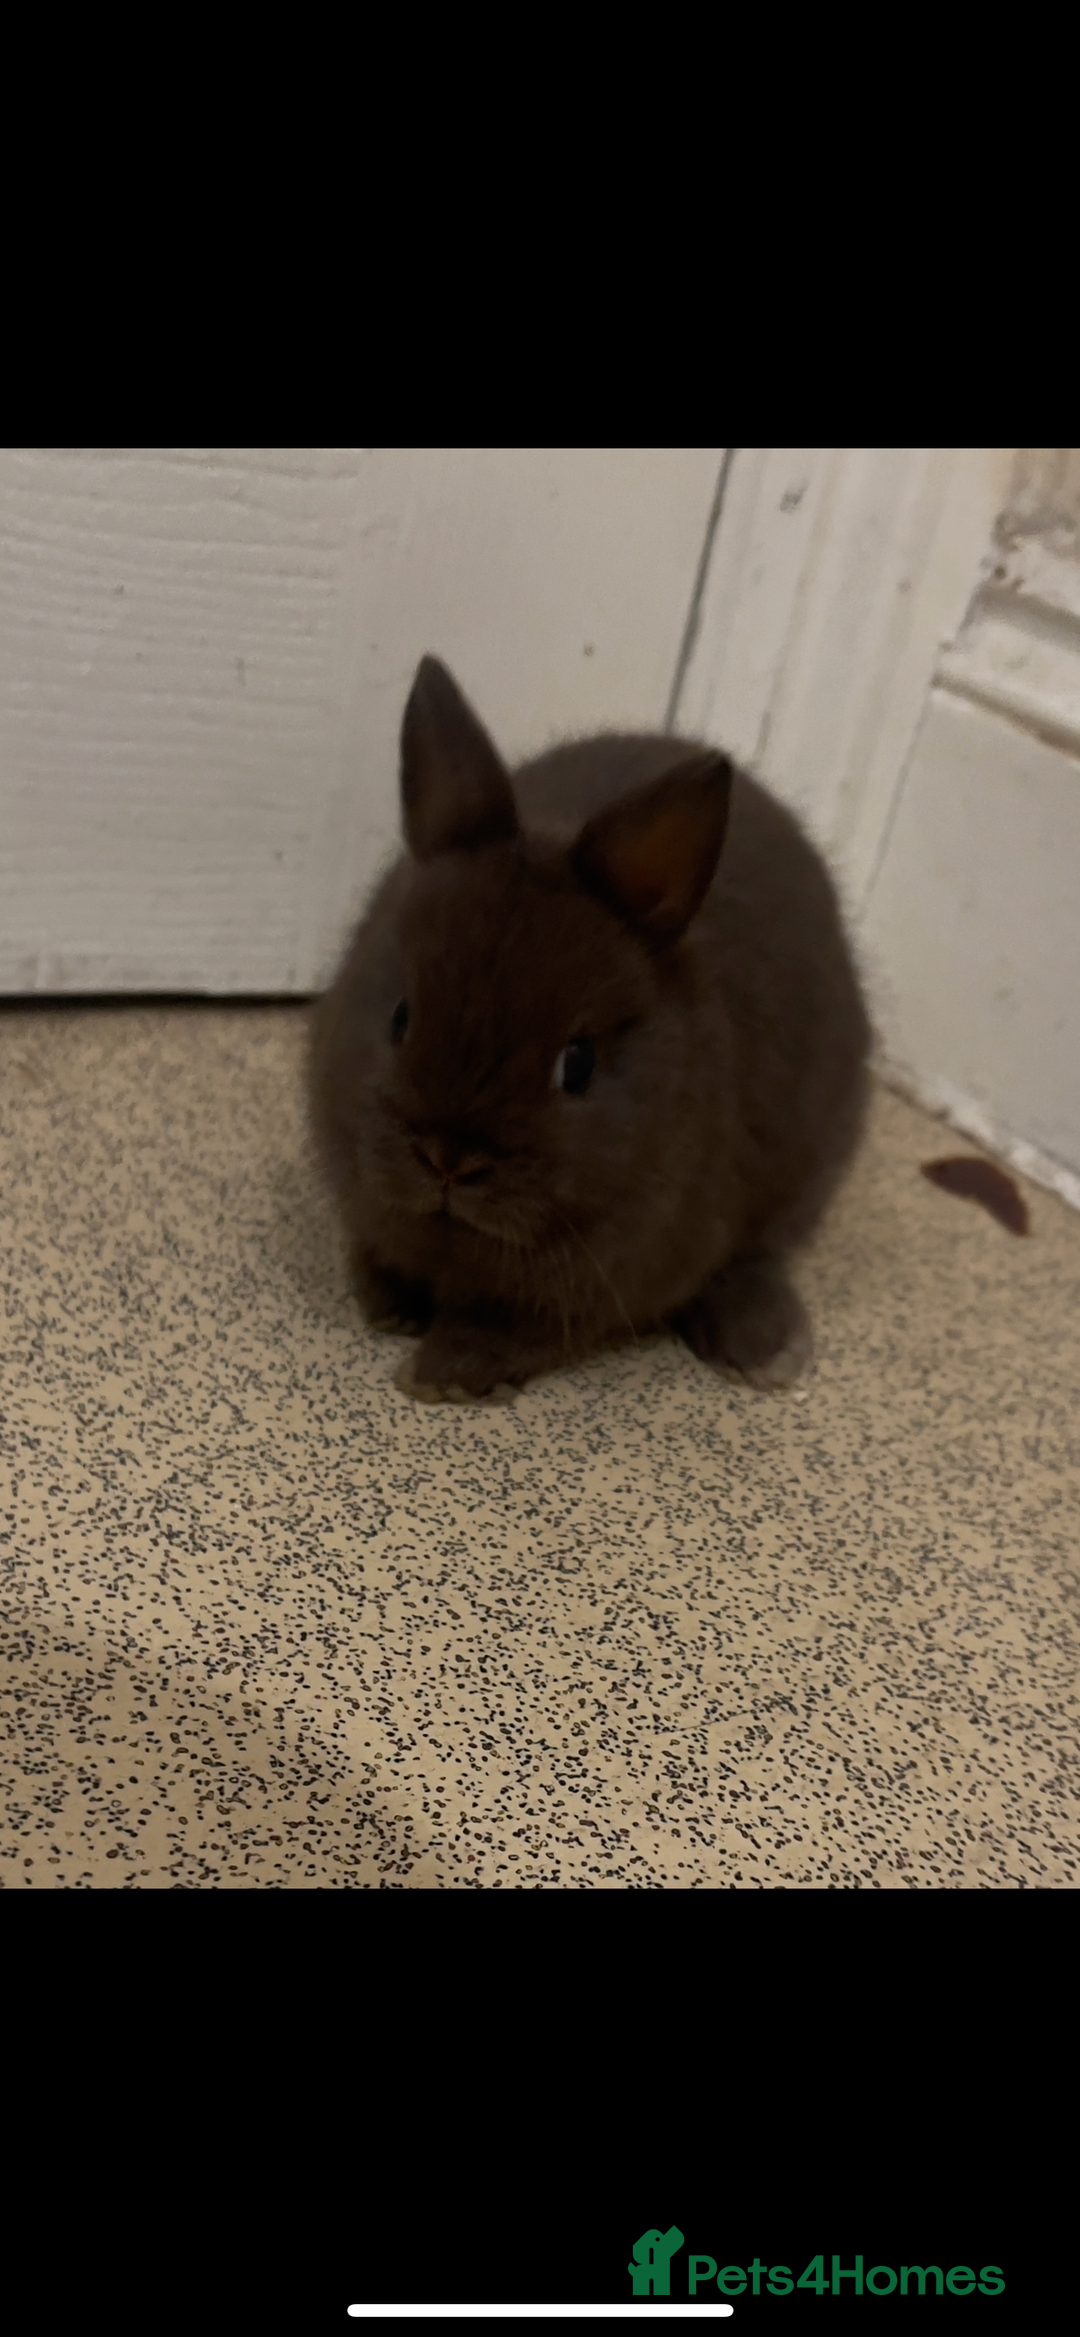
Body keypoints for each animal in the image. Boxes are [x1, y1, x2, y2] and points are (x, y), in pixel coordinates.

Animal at [307, 655, 872, 1403]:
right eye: (401, 1016)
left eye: (577, 1064)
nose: (447, 1159)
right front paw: (388, 1306)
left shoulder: (605, 1284)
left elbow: (517, 1331)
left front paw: (440, 1376)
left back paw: (766, 1351)